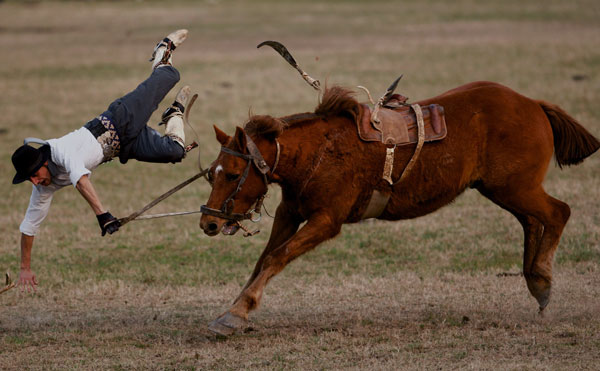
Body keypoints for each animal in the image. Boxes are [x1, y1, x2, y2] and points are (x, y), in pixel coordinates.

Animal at [199, 81, 596, 338]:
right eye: (209, 173)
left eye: (232, 173)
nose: (208, 223)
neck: (318, 151)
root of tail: (532, 103)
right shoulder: (290, 213)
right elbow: (263, 259)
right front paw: (234, 309)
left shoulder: (326, 221)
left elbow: (276, 258)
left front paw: (235, 313)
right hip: (505, 189)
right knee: (532, 220)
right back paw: (536, 282)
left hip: (515, 187)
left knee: (558, 212)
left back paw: (542, 280)